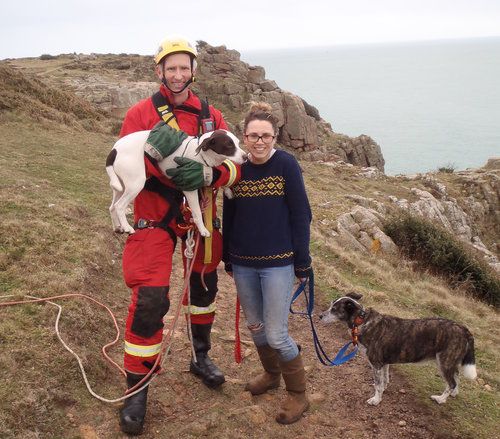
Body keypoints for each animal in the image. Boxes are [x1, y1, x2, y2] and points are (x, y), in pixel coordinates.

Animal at [105, 128, 246, 235]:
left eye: (238, 143)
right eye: (229, 144)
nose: (246, 156)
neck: (202, 153)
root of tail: (114, 149)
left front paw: (227, 190)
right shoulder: (189, 189)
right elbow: (197, 213)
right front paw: (202, 230)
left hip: (122, 186)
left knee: (112, 206)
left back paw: (117, 227)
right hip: (136, 184)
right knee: (119, 206)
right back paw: (127, 227)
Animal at [320, 294, 476, 408]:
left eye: (334, 309)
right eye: (331, 305)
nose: (320, 316)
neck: (362, 320)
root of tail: (463, 328)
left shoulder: (376, 364)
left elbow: (378, 384)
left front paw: (376, 400)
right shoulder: (383, 364)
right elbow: (384, 379)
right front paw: (383, 390)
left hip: (444, 362)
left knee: (451, 382)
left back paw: (441, 399)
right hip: (450, 362)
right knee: (456, 376)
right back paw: (454, 393)